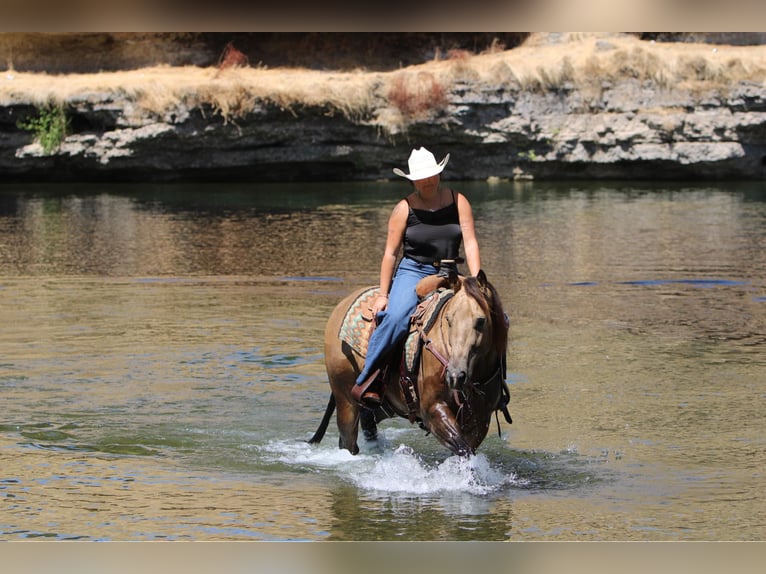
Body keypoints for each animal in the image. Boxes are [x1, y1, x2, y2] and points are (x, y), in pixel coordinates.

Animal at [308, 272, 516, 460]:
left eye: (480, 321)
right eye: (448, 319)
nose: (455, 376)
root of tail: (341, 306)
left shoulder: (480, 418)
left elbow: (465, 448)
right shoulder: (432, 408)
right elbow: (461, 446)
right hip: (345, 399)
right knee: (348, 440)